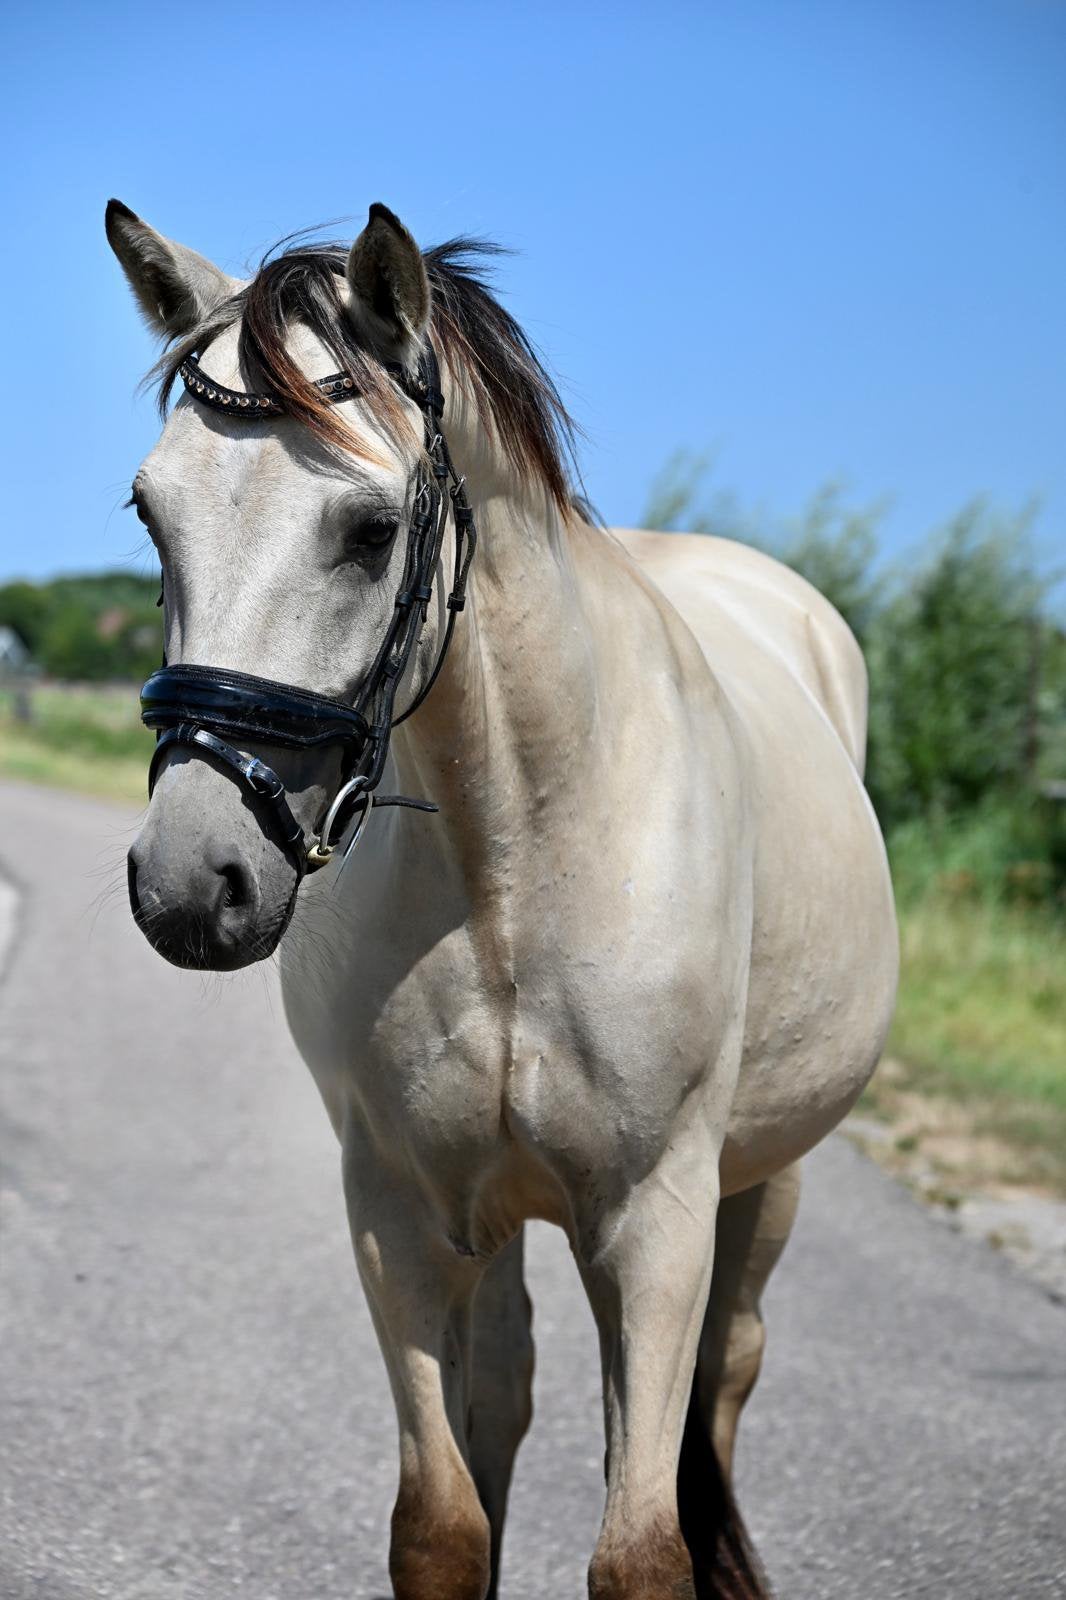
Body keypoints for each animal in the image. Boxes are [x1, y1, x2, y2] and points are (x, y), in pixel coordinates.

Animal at [107, 197, 898, 1600]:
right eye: (152, 515)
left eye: (369, 530)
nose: (192, 883)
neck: (518, 856)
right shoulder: (401, 1209)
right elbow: (443, 1520)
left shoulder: (654, 1223)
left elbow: (641, 1549)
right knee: (510, 1397)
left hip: (766, 1183)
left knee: (724, 1376)